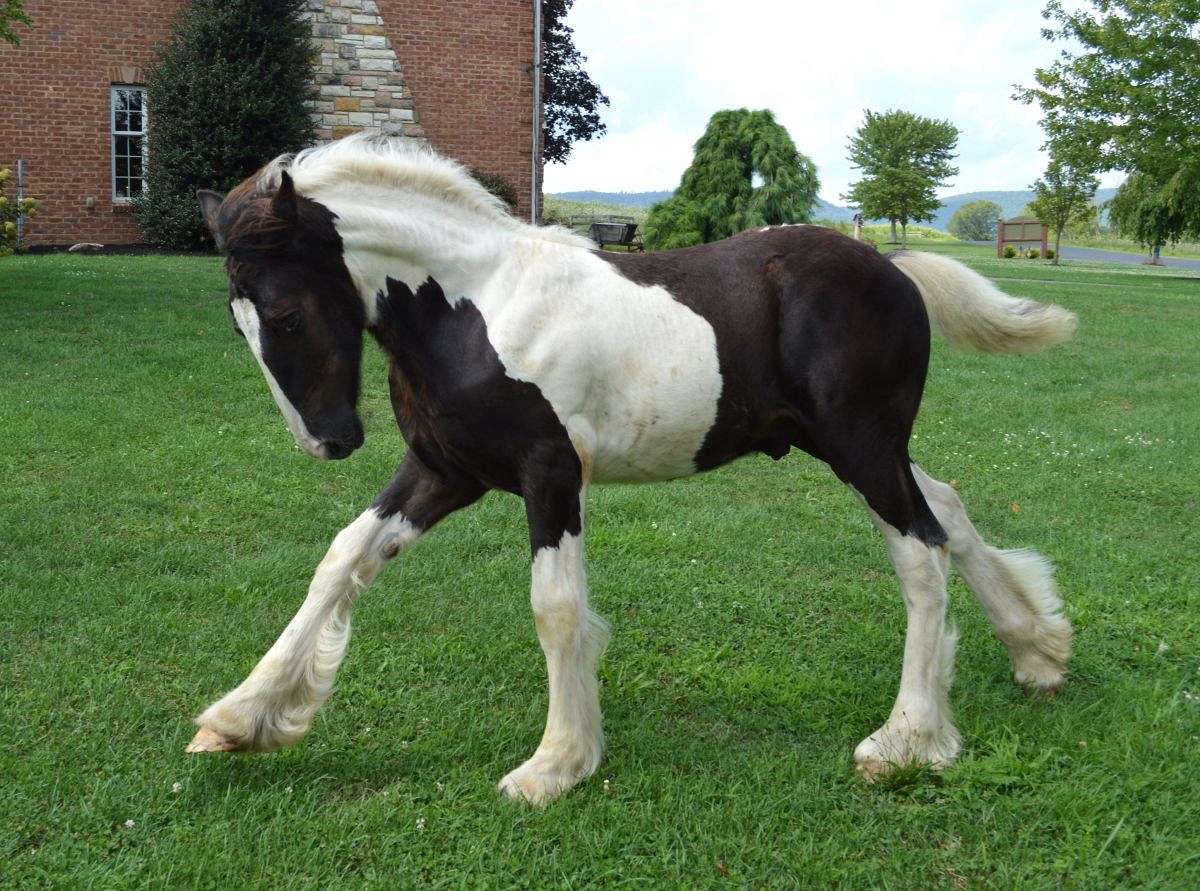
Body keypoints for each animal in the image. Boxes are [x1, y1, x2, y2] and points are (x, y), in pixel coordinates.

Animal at [189, 134, 1076, 804]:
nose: (328, 442)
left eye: (285, 314)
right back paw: (1038, 652)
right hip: (865, 447)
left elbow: (555, 608)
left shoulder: (550, 474)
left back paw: (908, 738)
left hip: (860, 446)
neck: (477, 306)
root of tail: (893, 268)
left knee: (921, 552)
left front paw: (553, 764)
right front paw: (241, 718)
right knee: (949, 511)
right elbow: (343, 558)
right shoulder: (445, 470)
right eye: (236, 324)